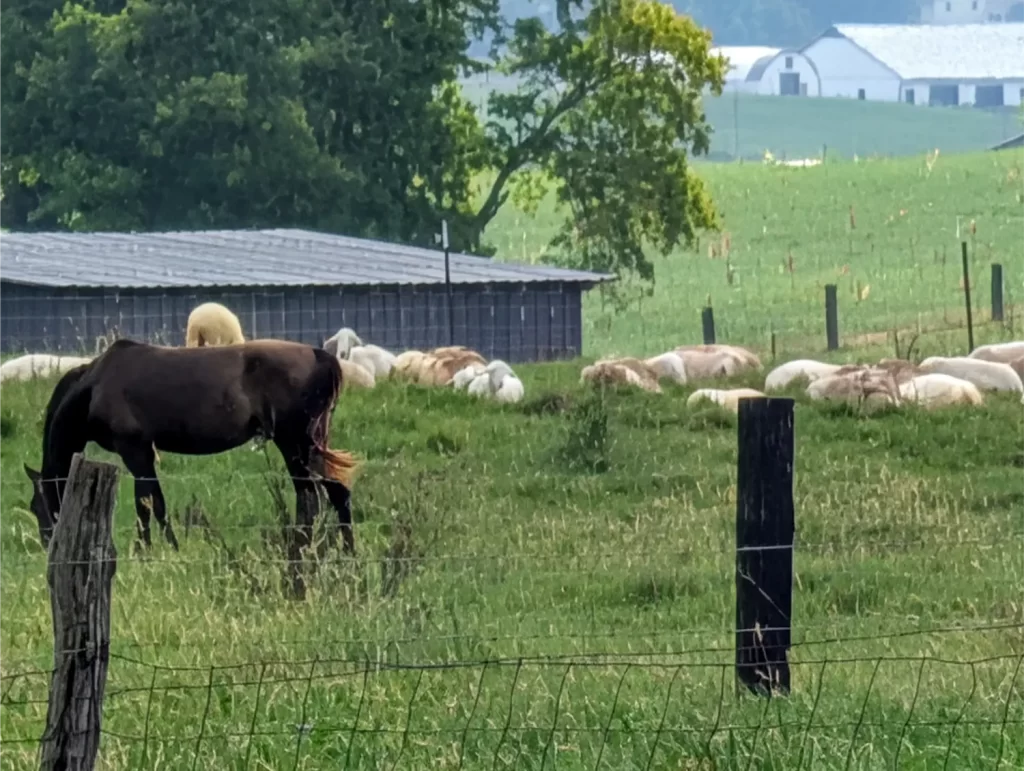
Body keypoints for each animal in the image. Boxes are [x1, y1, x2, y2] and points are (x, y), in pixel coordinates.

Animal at [23, 338, 360, 554]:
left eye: (37, 506)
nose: (48, 543)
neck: (95, 385)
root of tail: (320, 356)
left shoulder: (135, 451)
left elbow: (147, 503)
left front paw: (149, 550)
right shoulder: (144, 453)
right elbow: (154, 502)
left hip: (295, 444)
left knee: (311, 494)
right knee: (334, 491)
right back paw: (345, 549)